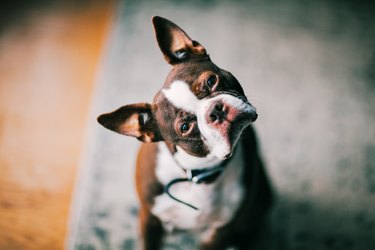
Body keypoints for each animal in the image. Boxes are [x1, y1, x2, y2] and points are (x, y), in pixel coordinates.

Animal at [97, 16, 274, 250]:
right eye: (185, 127)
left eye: (211, 81)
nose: (216, 110)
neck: (197, 174)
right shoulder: (149, 219)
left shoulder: (223, 229)